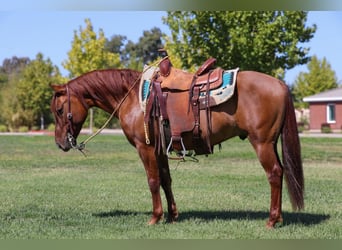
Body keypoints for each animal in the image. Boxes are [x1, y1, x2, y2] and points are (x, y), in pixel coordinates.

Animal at [50, 67, 302, 228]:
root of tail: (280, 84)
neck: (131, 97)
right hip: (271, 143)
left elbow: (152, 181)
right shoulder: (160, 150)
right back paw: (278, 218)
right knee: (280, 172)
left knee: (274, 174)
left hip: (262, 143)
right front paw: (172, 215)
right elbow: (165, 180)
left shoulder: (145, 148)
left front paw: (155, 217)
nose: (61, 143)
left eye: (60, 110)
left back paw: (271, 220)